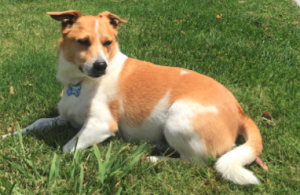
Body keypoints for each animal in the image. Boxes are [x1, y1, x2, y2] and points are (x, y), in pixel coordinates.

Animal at [2, 10, 268, 186]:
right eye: (83, 42)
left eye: (108, 42)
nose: (100, 66)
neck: (79, 82)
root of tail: (240, 111)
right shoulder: (65, 118)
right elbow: (36, 124)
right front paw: (9, 136)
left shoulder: (101, 125)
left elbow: (67, 148)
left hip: (177, 116)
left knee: (194, 162)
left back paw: (150, 159)